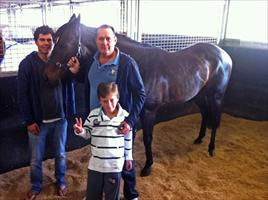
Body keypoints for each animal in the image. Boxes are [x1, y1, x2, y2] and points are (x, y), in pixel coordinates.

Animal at [46, 14, 232, 176]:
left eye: (63, 44)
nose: (47, 75)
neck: (140, 65)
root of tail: (223, 54)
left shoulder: (148, 111)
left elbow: (147, 138)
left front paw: (148, 166)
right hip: (199, 95)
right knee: (205, 113)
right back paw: (199, 138)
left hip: (216, 96)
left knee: (215, 118)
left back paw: (211, 148)